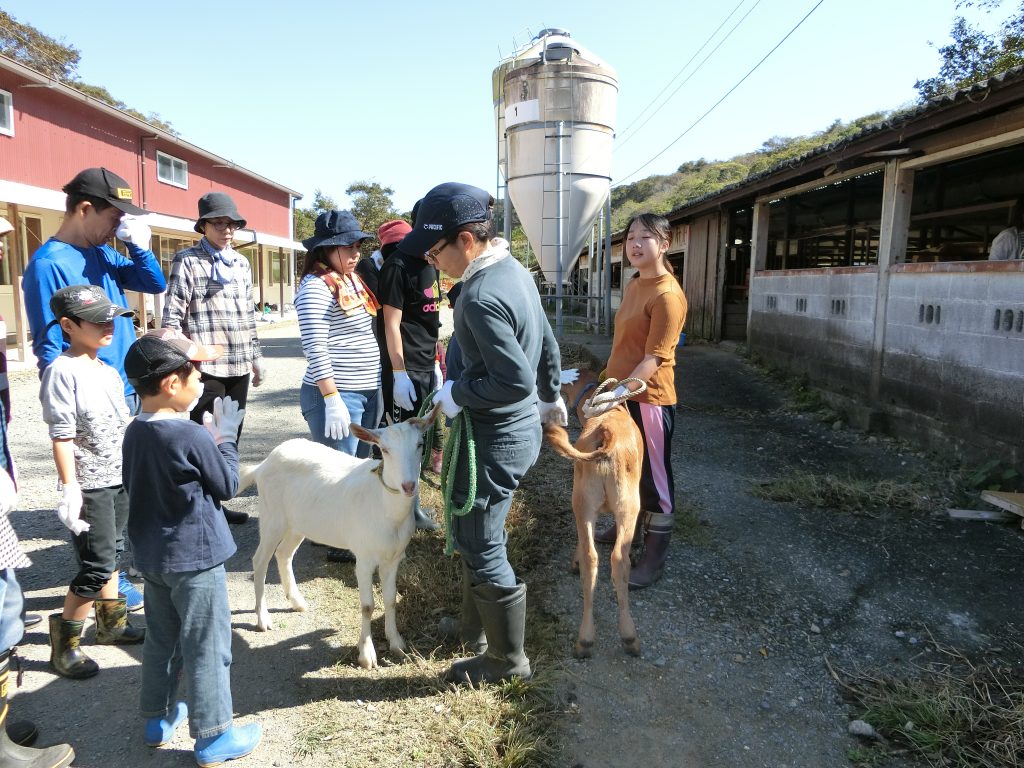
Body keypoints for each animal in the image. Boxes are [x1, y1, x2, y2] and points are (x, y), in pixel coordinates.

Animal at [238, 405, 440, 671]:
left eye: (419, 444)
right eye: (385, 450)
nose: (408, 486)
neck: (384, 505)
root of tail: (262, 465)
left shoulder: (393, 557)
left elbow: (390, 599)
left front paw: (396, 643)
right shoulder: (364, 557)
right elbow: (367, 606)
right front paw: (367, 656)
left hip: (298, 523)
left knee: (284, 554)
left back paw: (297, 602)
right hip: (272, 518)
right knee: (260, 560)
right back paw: (263, 619)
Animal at [544, 370, 638, 659]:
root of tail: (607, 432)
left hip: (586, 501)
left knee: (592, 557)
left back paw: (587, 637)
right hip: (626, 506)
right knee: (617, 559)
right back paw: (626, 636)